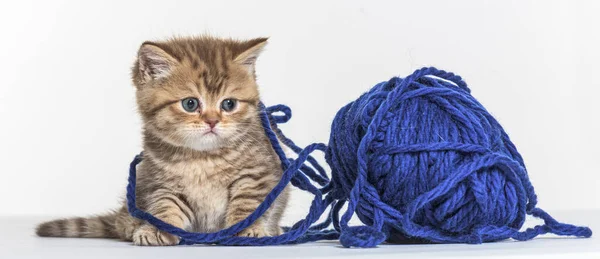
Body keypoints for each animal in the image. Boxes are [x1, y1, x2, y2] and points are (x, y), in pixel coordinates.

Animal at [35, 36, 290, 246]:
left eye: (229, 104)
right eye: (190, 104)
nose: (212, 121)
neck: (204, 157)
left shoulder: (258, 173)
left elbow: (249, 203)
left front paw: (246, 228)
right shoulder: (161, 180)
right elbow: (166, 204)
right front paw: (157, 229)